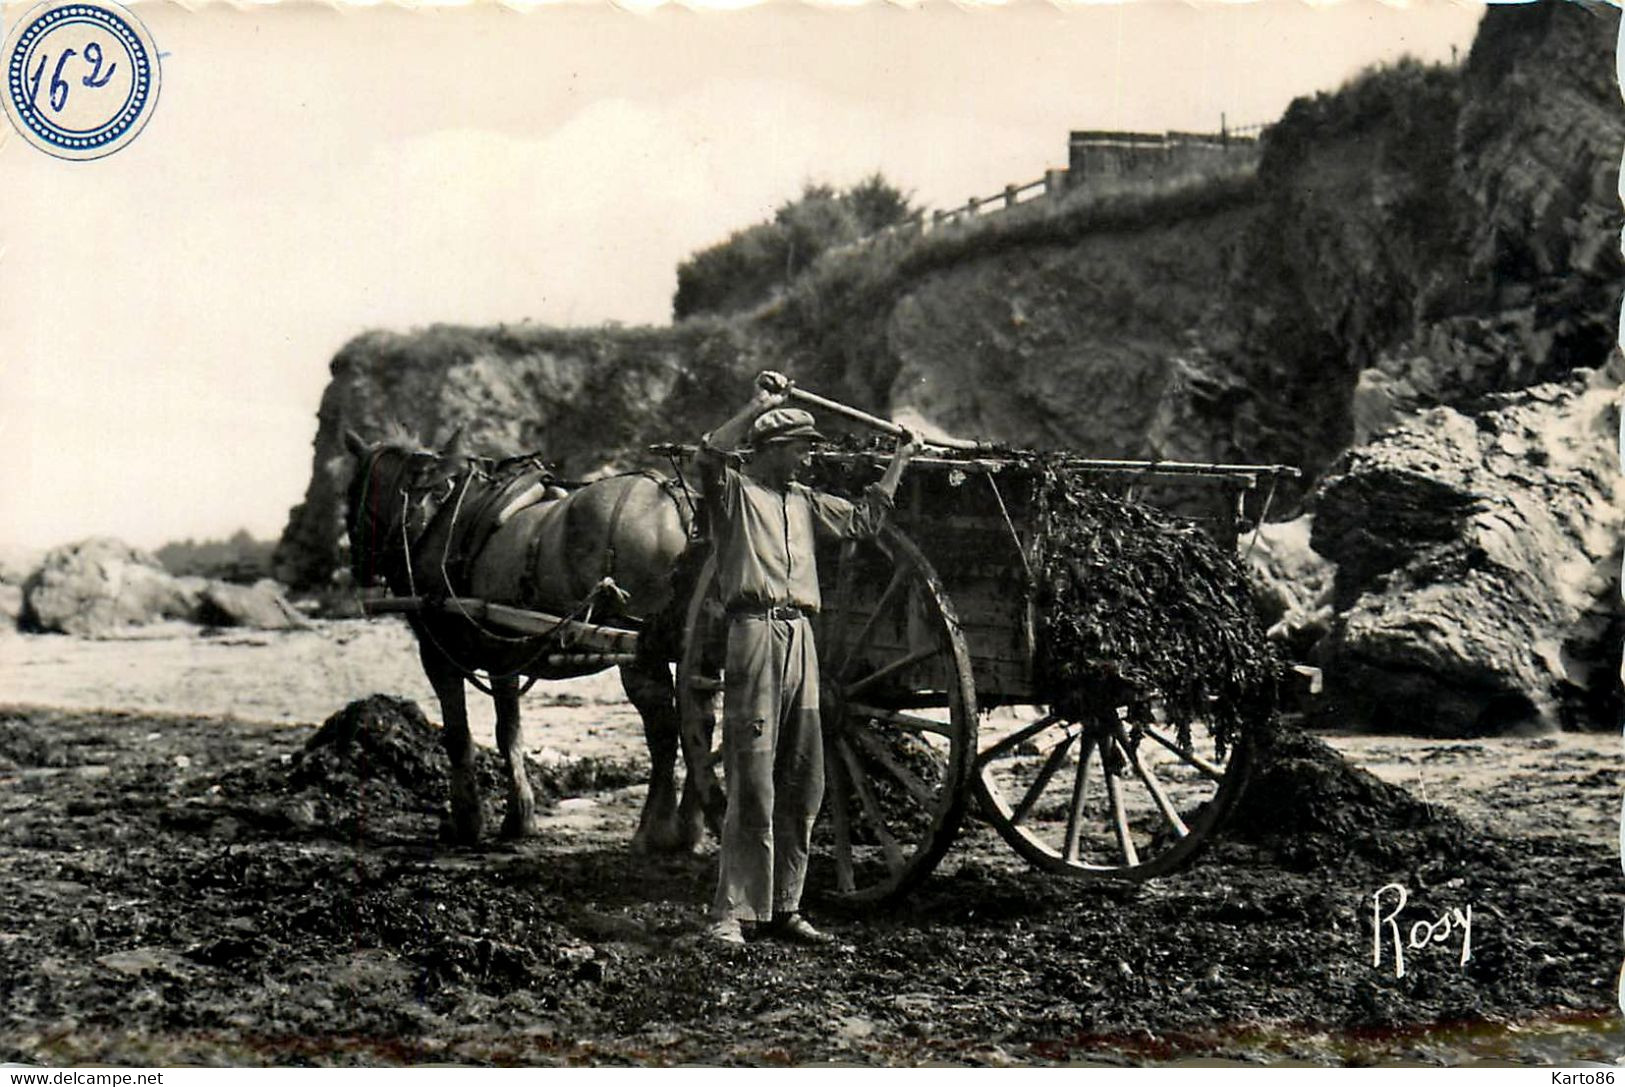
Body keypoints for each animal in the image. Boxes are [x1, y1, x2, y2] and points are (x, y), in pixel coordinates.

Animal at [342, 428, 705, 851]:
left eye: (353, 492)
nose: (358, 568)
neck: (430, 513)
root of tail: (677, 504)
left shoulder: (437, 653)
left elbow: (458, 737)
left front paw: (466, 822)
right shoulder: (503, 655)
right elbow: (509, 733)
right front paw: (520, 818)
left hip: (643, 649)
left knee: (663, 729)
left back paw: (655, 830)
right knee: (699, 719)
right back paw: (690, 825)